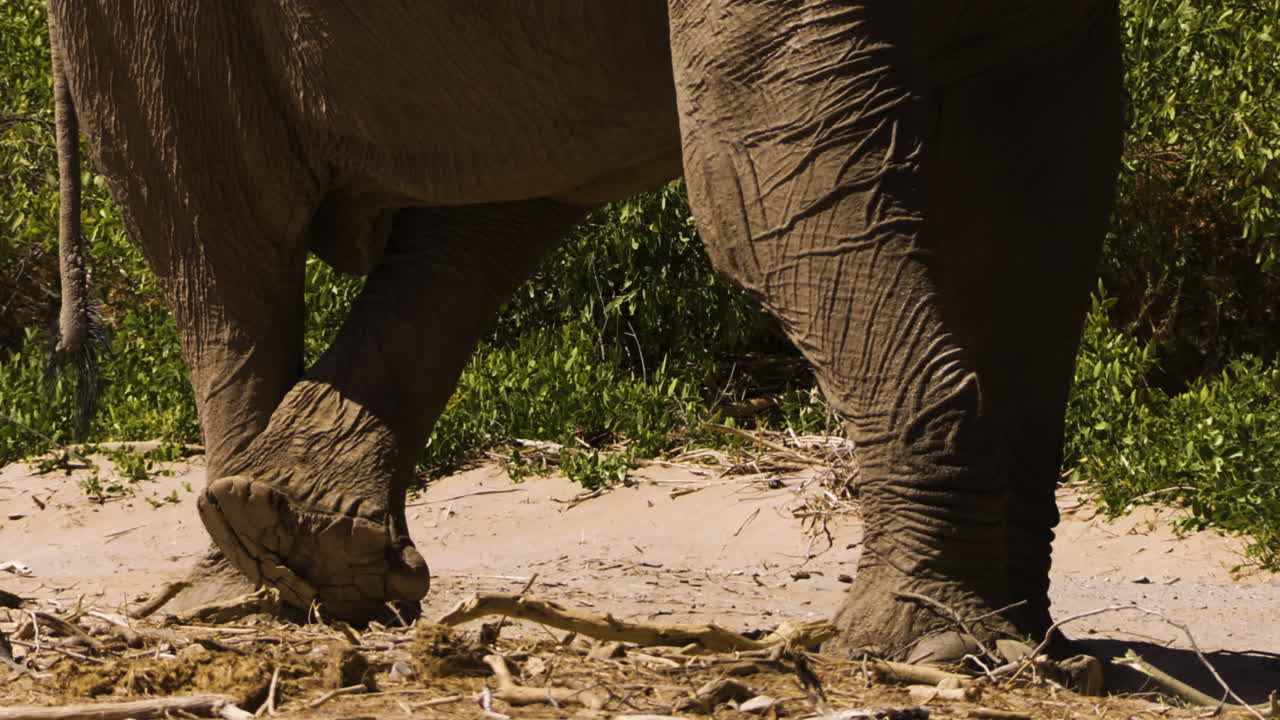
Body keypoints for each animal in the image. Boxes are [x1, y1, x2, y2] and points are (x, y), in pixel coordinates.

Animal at [47, 0, 1123, 660]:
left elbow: (1040, 194)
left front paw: (1023, 649)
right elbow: (760, 192)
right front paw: (933, 647)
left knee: (501, 202)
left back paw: (302, 548)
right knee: (225, 247)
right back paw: (253, 590)